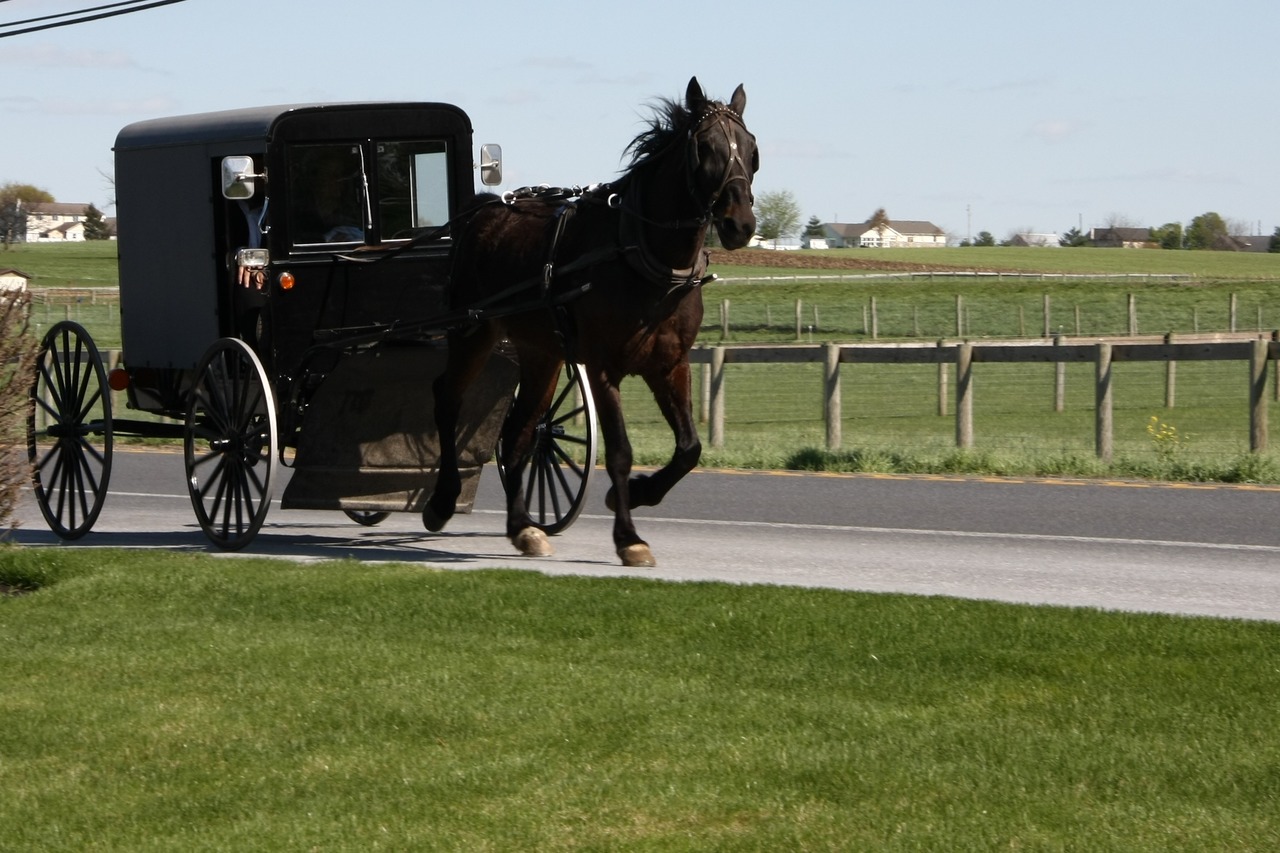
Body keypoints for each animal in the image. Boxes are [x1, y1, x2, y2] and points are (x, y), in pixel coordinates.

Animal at [425, 76, 758, 567]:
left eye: (751, 149)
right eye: (706, 147)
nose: (741, 224)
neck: (643, 255)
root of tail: (484, 209)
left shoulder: (670, 365)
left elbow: (689, 449)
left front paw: (639, 493)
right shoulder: (603, 368)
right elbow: (619, 452)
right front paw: (629, 538)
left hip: (540, 352)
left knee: (518, 432)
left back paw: (522, 527)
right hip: (473, 330)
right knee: (448, 400)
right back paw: (443, 500)